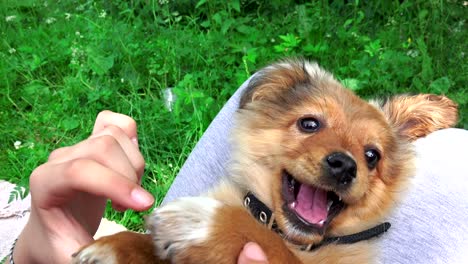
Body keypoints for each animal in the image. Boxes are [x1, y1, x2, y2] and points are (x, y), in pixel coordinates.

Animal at [72, 59, 458, 264]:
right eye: (309, 124)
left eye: (372, 156)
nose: (346, 166)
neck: (292, 237)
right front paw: (119, 245)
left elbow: (260, 238)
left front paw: (207, 224)